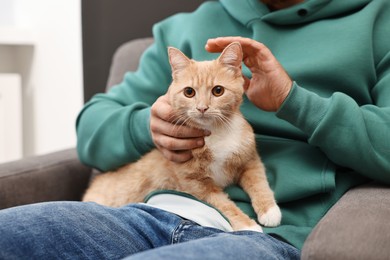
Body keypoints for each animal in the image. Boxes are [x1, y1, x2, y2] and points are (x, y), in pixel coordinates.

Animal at [83, 42, 280, 232]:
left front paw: (270, 211)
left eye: (218, 91)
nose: (202, 108)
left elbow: (259, 183)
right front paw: (247, 225)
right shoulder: (196, 186)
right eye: (189, 92)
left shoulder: (250, 160)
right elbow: (224, 205)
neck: (215, 133)